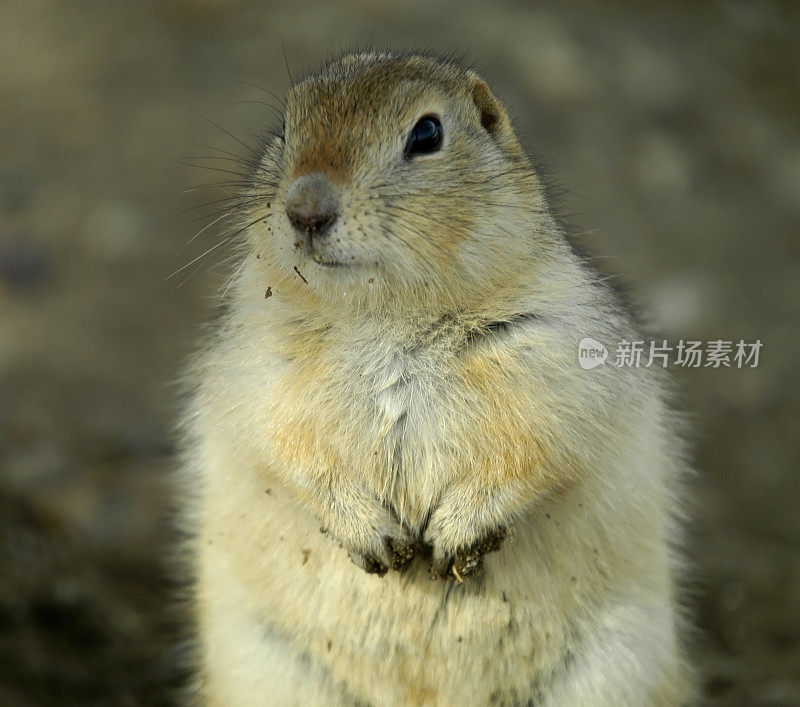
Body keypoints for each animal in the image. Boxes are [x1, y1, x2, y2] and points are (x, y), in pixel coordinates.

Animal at [180, 52, 692, 704]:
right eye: (288, 125)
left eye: (427, 134)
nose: (305, 209)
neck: (390, 319)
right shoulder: (255, 368)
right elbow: (284, 449)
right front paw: (376, 536)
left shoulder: (559, 362)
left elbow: (537, 454)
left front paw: (454, 535)